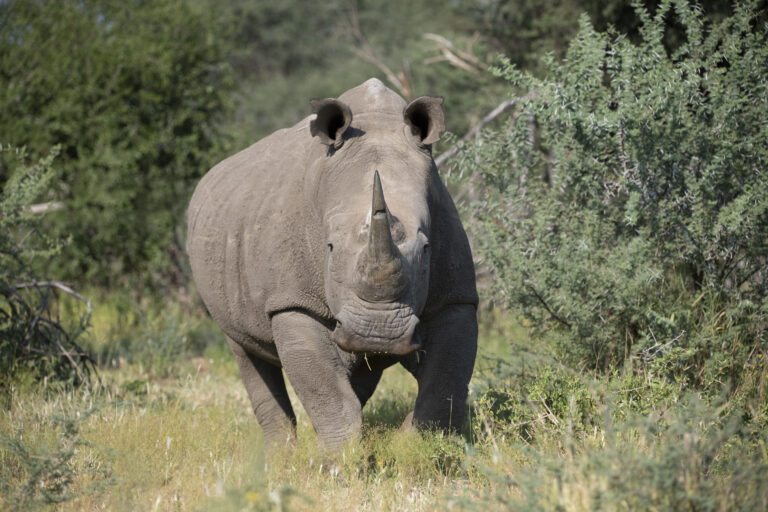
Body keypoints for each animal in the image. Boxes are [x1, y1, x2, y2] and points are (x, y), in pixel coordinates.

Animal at [187, 78, 478, 448]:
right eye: (329, 247)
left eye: (426, 248)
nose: (378, 333)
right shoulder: (292, 301)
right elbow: (326, 390)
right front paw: (340, 456)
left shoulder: (454, 297)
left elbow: (446, 381)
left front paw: (415, 445)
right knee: (244, 350)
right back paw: (279, 454)